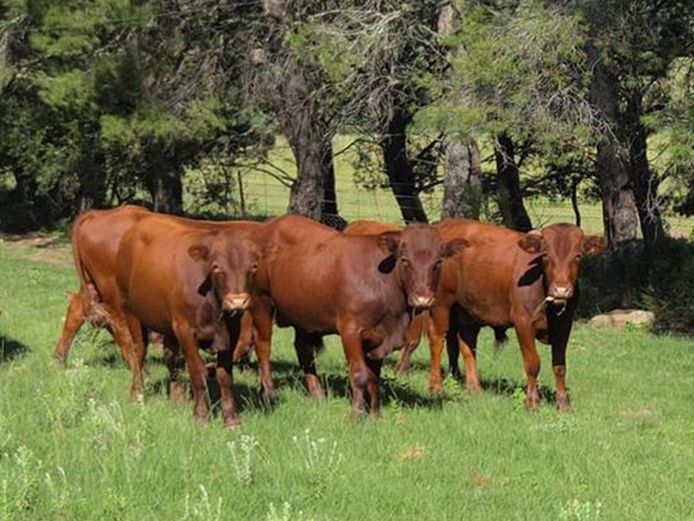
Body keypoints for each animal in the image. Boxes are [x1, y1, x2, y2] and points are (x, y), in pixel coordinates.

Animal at [116, 214, 264, 427]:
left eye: (253, 267)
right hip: (131, 312)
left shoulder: (232, 334)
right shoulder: (186, 331)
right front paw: (201, 416)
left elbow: (225, 375)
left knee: (171, 357)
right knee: (139, 353)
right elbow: (198, 372)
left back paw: (177, 399)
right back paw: (136, 395)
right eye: (216, 267)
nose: (237, 301)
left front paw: (231, 419)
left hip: (168, 323)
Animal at [249, 215, 468, 419]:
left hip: (304, 312)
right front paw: (357, 414)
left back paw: (317, 394)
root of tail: (268, 226)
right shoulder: (351, 331)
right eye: (405, 260)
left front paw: (376, 414)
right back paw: (269, 394)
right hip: (262, 303)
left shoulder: (379, 337)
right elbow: (360, 374)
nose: (423, 299)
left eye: (438, 262)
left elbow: (374, 376)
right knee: (263, 346)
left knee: (303, 349)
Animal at [414, 219, 604, 410]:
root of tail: (444, 224)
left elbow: (559, 366)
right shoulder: (523, 323)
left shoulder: (564, 325)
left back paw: (474, 387)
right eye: (546, 256)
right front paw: (532, 401)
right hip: (442, 304)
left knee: (467, 342)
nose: (561, 289)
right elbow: (533, 364)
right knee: (437, 339)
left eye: (578, 256)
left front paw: (564, 403)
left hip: (468, 309)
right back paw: (436, 387)